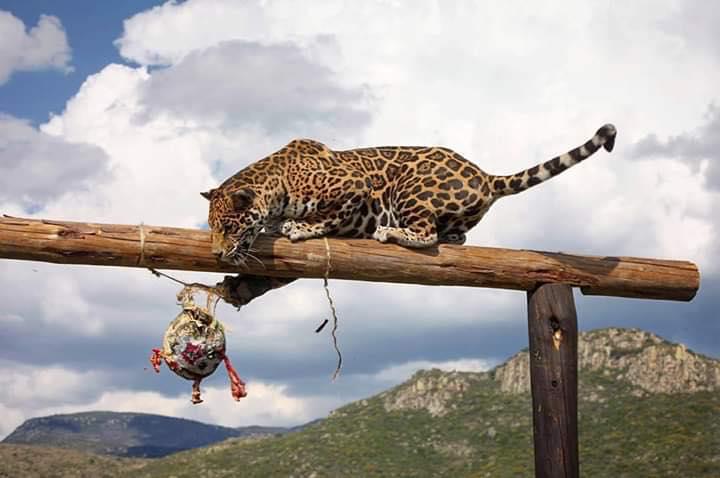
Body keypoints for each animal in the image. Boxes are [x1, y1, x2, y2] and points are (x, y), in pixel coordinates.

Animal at [202, 124, 616, 266]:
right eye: (212, 228)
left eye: (228, 226)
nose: (217, 254)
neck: (278, 184)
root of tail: (485, 176)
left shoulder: (354, 184)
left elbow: (329, 215)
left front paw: (300, 227)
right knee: (455, 236)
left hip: (408, 187)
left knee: (427, 234)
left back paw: (390, 231)